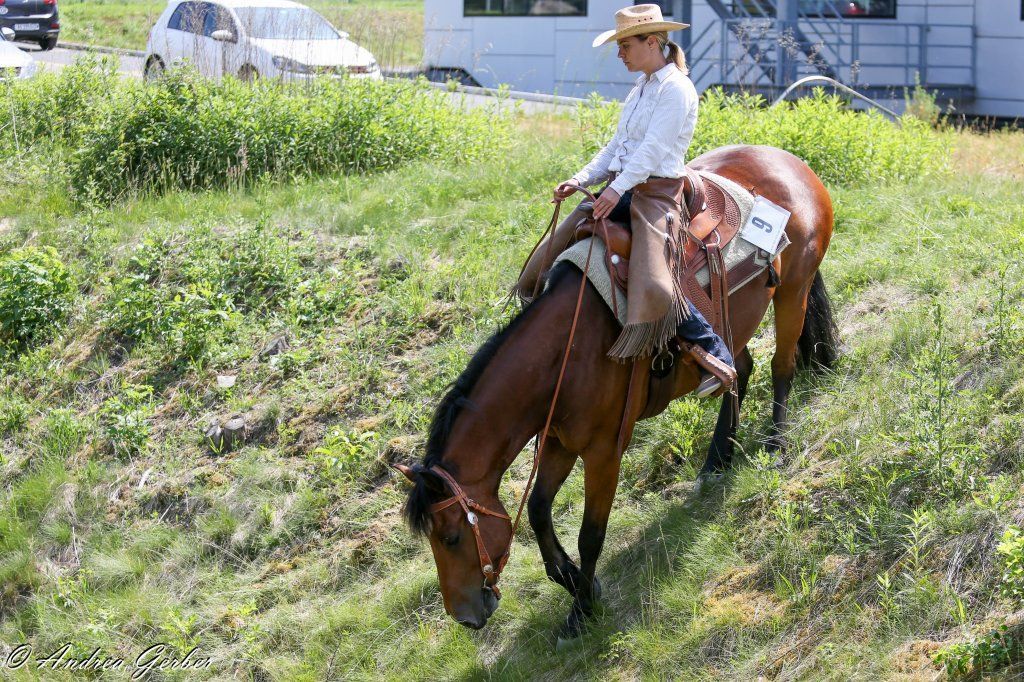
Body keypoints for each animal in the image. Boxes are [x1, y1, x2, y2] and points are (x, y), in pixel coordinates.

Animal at [395, 145, 838, 638]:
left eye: (452, 536)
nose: (465, 616)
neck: (566, 352)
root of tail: (789, 161)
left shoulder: (604, 451)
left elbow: (591, 533)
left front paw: (582, 607)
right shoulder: (558, 440)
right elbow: (539, 511)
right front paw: (573, 582)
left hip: (794, 290)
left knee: (781, 366)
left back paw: (775, 444)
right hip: (734, 322)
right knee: (737, 371)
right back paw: (717, 460)